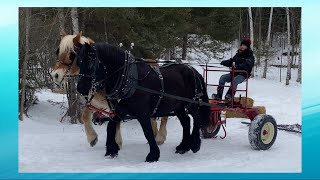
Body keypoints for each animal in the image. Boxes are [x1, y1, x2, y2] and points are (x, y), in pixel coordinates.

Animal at [74, 35, 211, 162]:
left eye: (90, 62)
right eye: (79, 62)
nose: (80, 88)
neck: (129, 79)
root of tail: (192, 70)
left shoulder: (143, 113)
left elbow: (147, 132)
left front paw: (153, 155)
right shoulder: (119, 110)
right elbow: (110, 127)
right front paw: (111, 150)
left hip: (191, 103)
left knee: (197, 118)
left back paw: (195, 144)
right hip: (178, 107)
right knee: (186, 121)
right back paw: (183, 147)